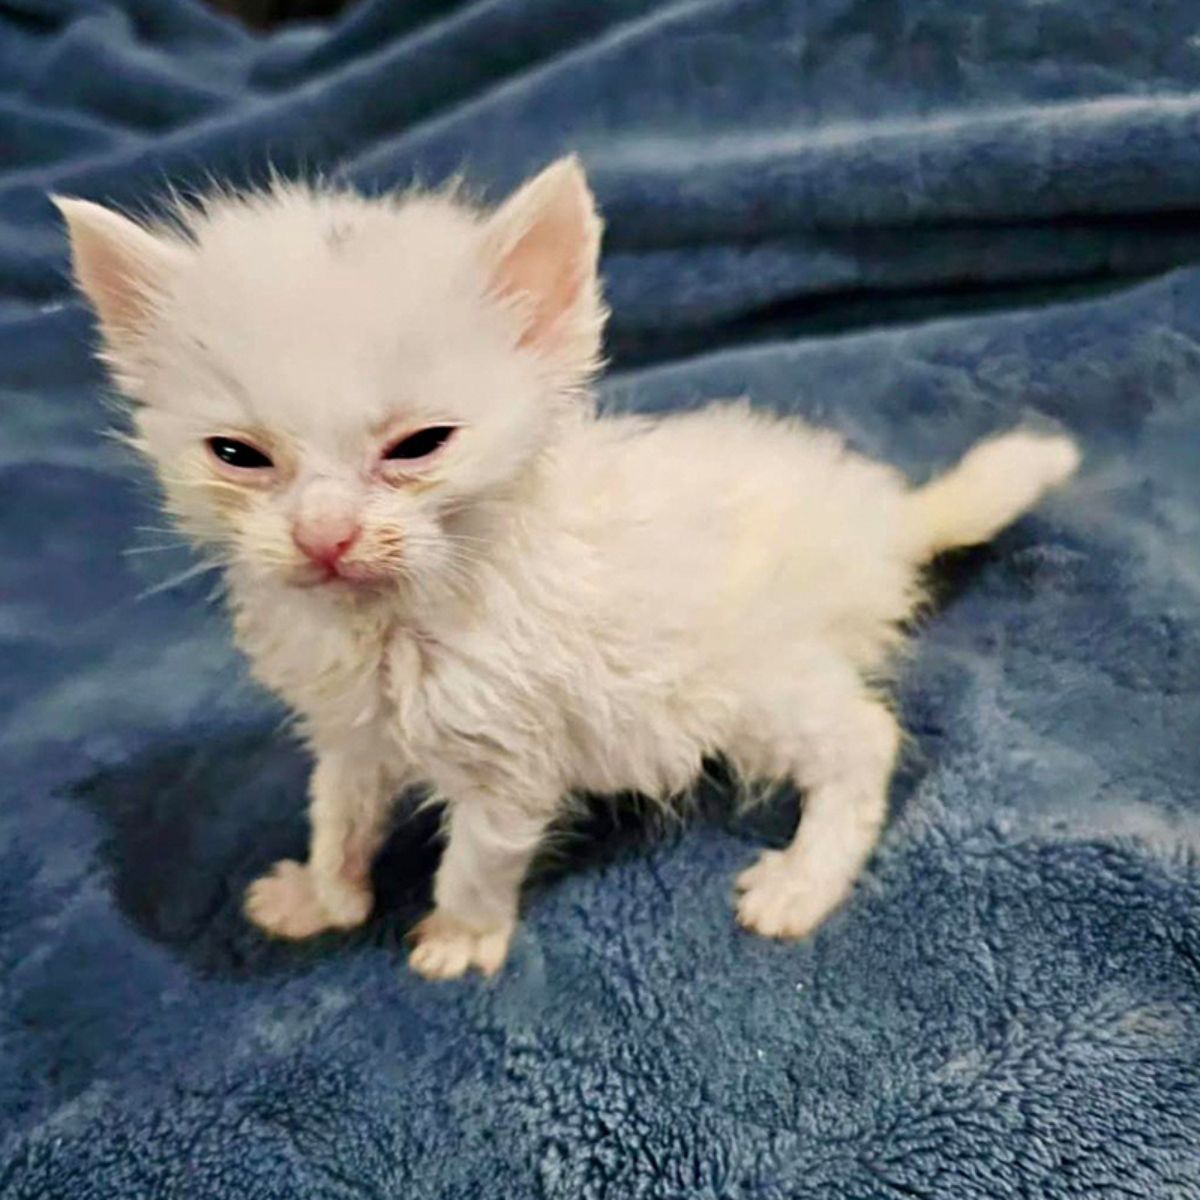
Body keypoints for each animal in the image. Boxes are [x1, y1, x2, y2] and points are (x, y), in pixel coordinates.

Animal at [54, 159, 1080, 979]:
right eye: (238, 456)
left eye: (419, 446)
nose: (324, 537)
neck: (397, 616)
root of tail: (882, 522)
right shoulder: (354, 736)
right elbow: (338, 811)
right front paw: (324, 896)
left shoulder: (513, 762)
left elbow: (476, 857)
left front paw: (461, 938)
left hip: (754, 683)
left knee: (865, 739)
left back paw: (802, 883)